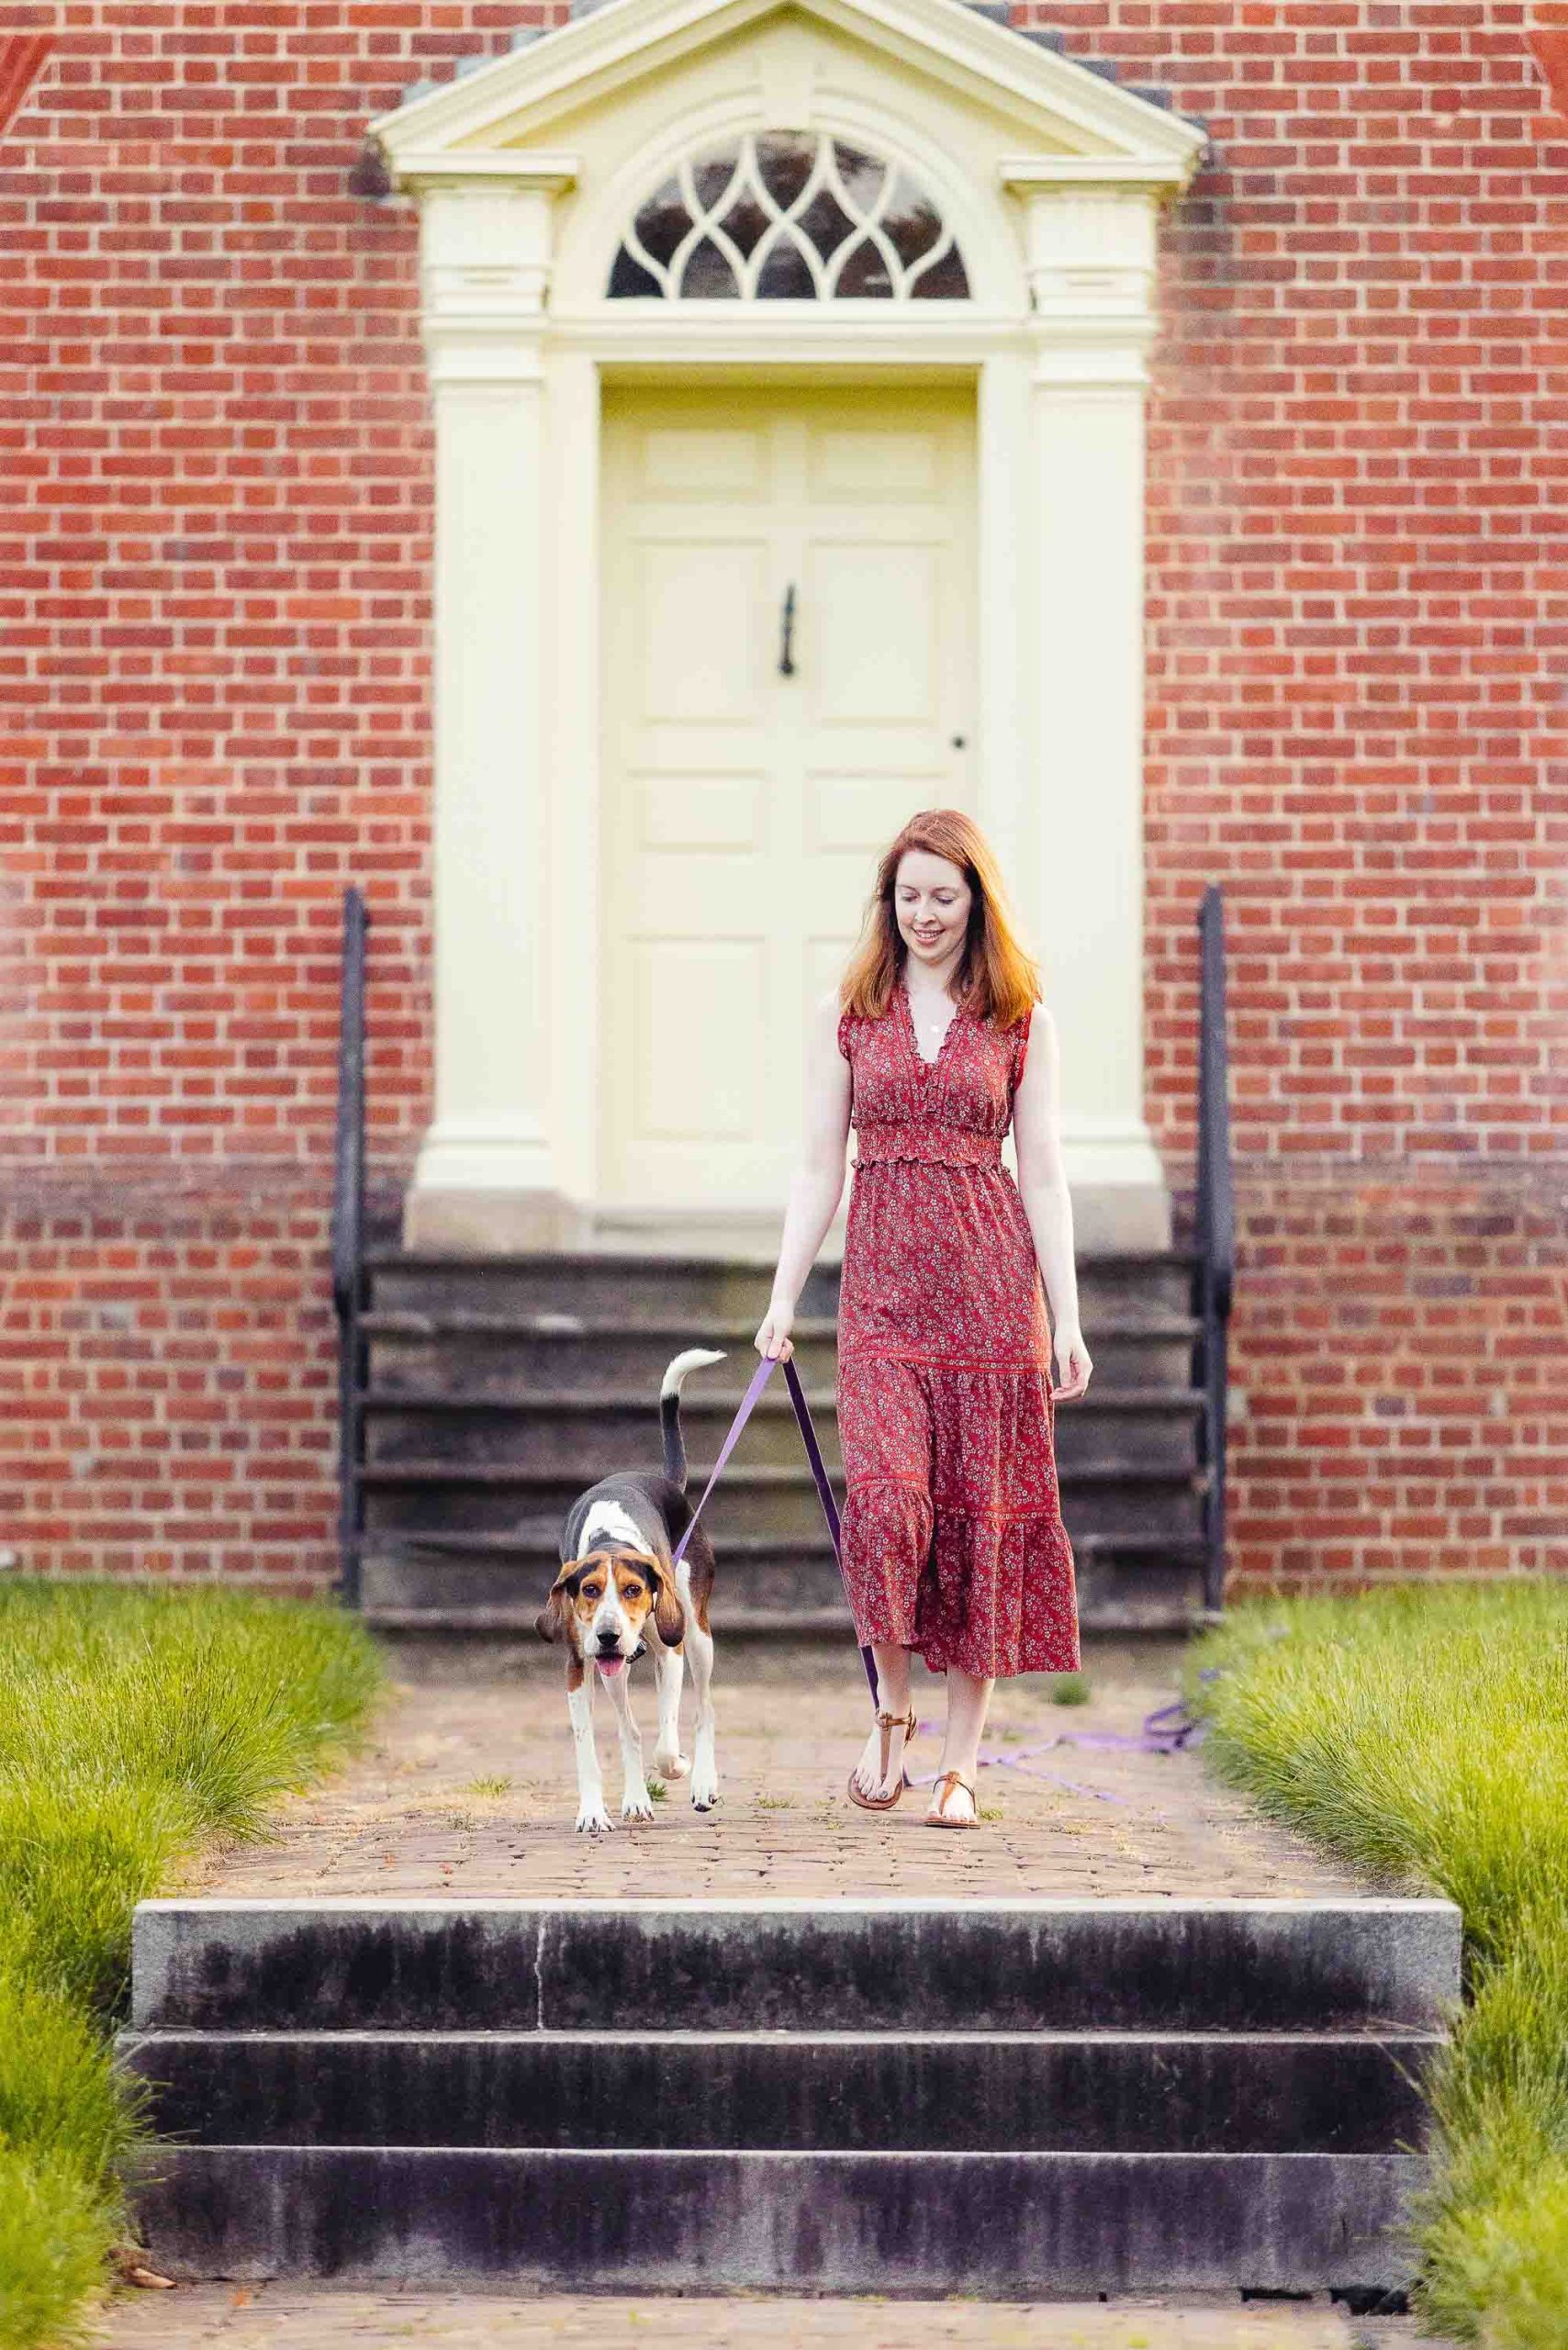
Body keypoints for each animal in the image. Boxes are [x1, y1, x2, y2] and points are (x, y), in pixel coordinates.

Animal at [540, 1344, 728, 1832]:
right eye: (588, 1590)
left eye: (632, 1590)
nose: (608, 1635)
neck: (610, 1538)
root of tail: (665, 1482)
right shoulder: (578, 1665)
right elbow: (589, 1745)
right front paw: (592, 1812)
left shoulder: (671, 1652)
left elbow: (667, 1744)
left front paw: (679, 1765)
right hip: (616, 1672)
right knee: (630, 1729)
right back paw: (637, 1800)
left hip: (696, 1636)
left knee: (704, 1710)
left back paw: (702, 1782)